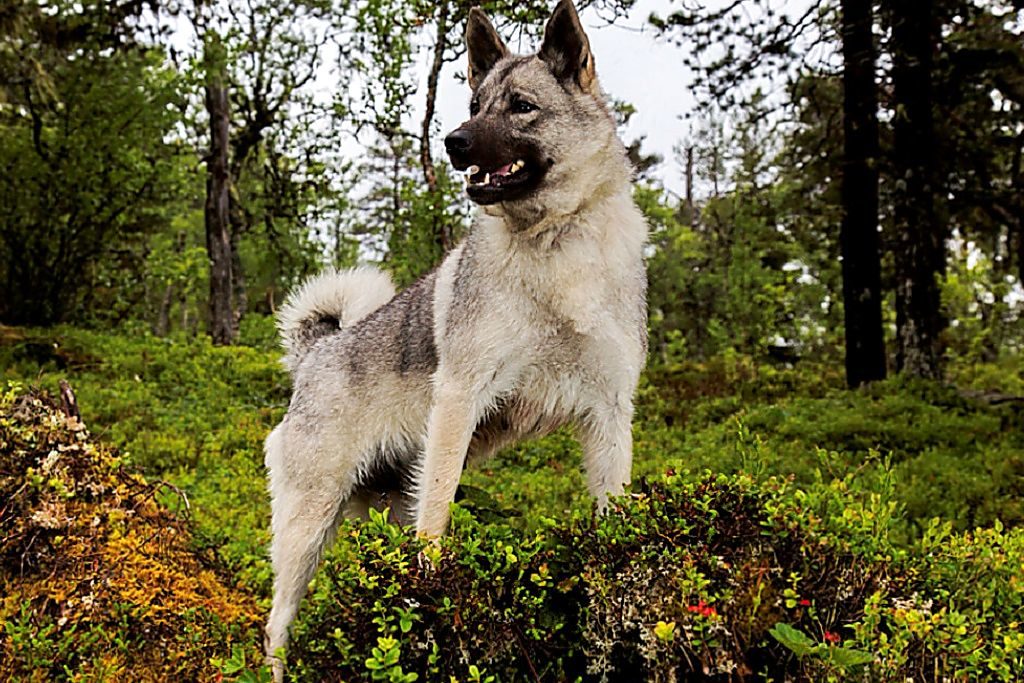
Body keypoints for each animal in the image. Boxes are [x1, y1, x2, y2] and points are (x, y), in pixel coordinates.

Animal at [264, 0, 647, 671]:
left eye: (521, 106)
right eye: (474, 105)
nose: (454, 142)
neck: (557, 243)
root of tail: (317, 353)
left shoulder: (609, 413)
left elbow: (612, 508)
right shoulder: (460, 401)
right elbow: (438, 516)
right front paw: (435, 588)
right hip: (306, 529)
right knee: (277, 624)